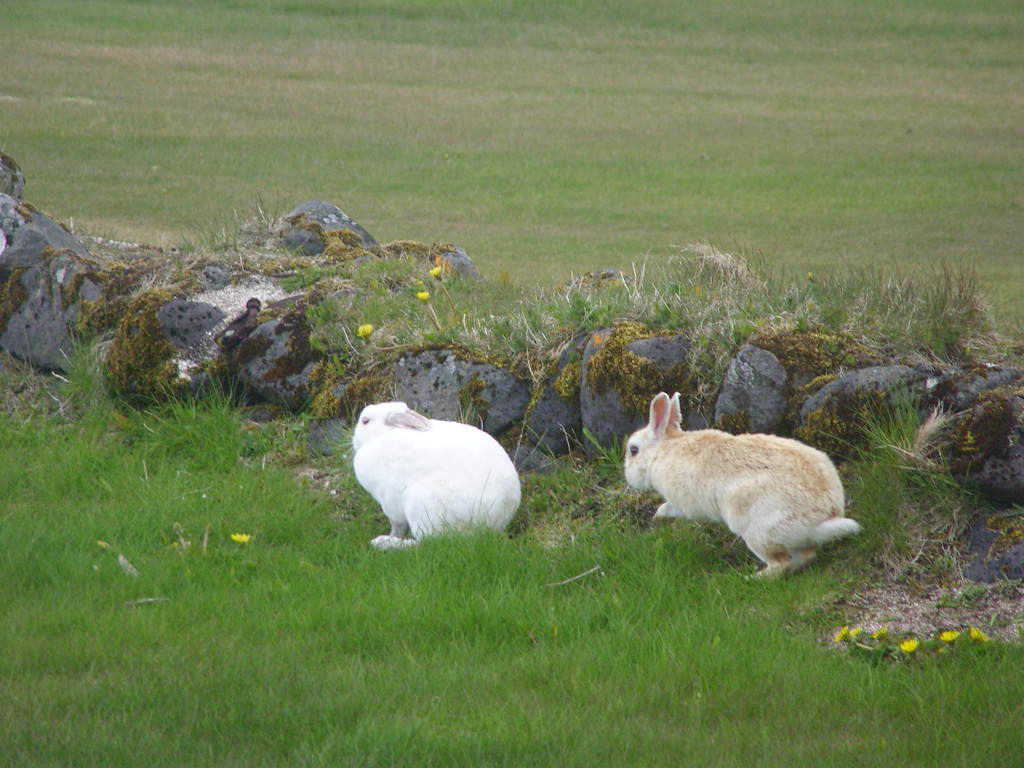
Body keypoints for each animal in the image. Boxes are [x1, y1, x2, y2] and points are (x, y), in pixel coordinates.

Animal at [352, 401, 521, 550]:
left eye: (365, 421)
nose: (354, 441)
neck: (382, 435)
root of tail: (493, 523)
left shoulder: (390, 502)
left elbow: (397, 525)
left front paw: (391, 536)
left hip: (419, 505)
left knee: (425, 542)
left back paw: (383, 543)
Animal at [624, 392, 861, 577]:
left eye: (633, 450)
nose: (627, 475)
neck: (661, 451)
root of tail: (826, 515)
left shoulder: (685, 503)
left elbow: (672, 508)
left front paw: (659, 514)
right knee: (804, 557)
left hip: (756, 531)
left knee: (782, 563)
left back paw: (753, 578)